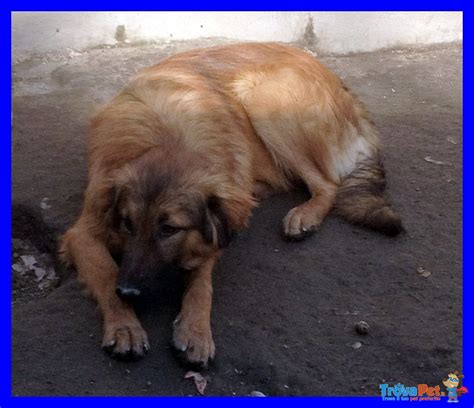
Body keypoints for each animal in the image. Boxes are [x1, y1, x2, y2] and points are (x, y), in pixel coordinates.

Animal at [60, 42, 404, 366]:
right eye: (127, 223)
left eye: (169, 229)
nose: (129, 291)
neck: (168, 139)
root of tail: (341, 86)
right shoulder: (83, 234)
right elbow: (106, 273)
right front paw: (125, 326)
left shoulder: (214, 227)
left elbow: (202, 285)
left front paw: (196, 331)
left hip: (264, 100)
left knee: (327, 184)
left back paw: (304, 214)